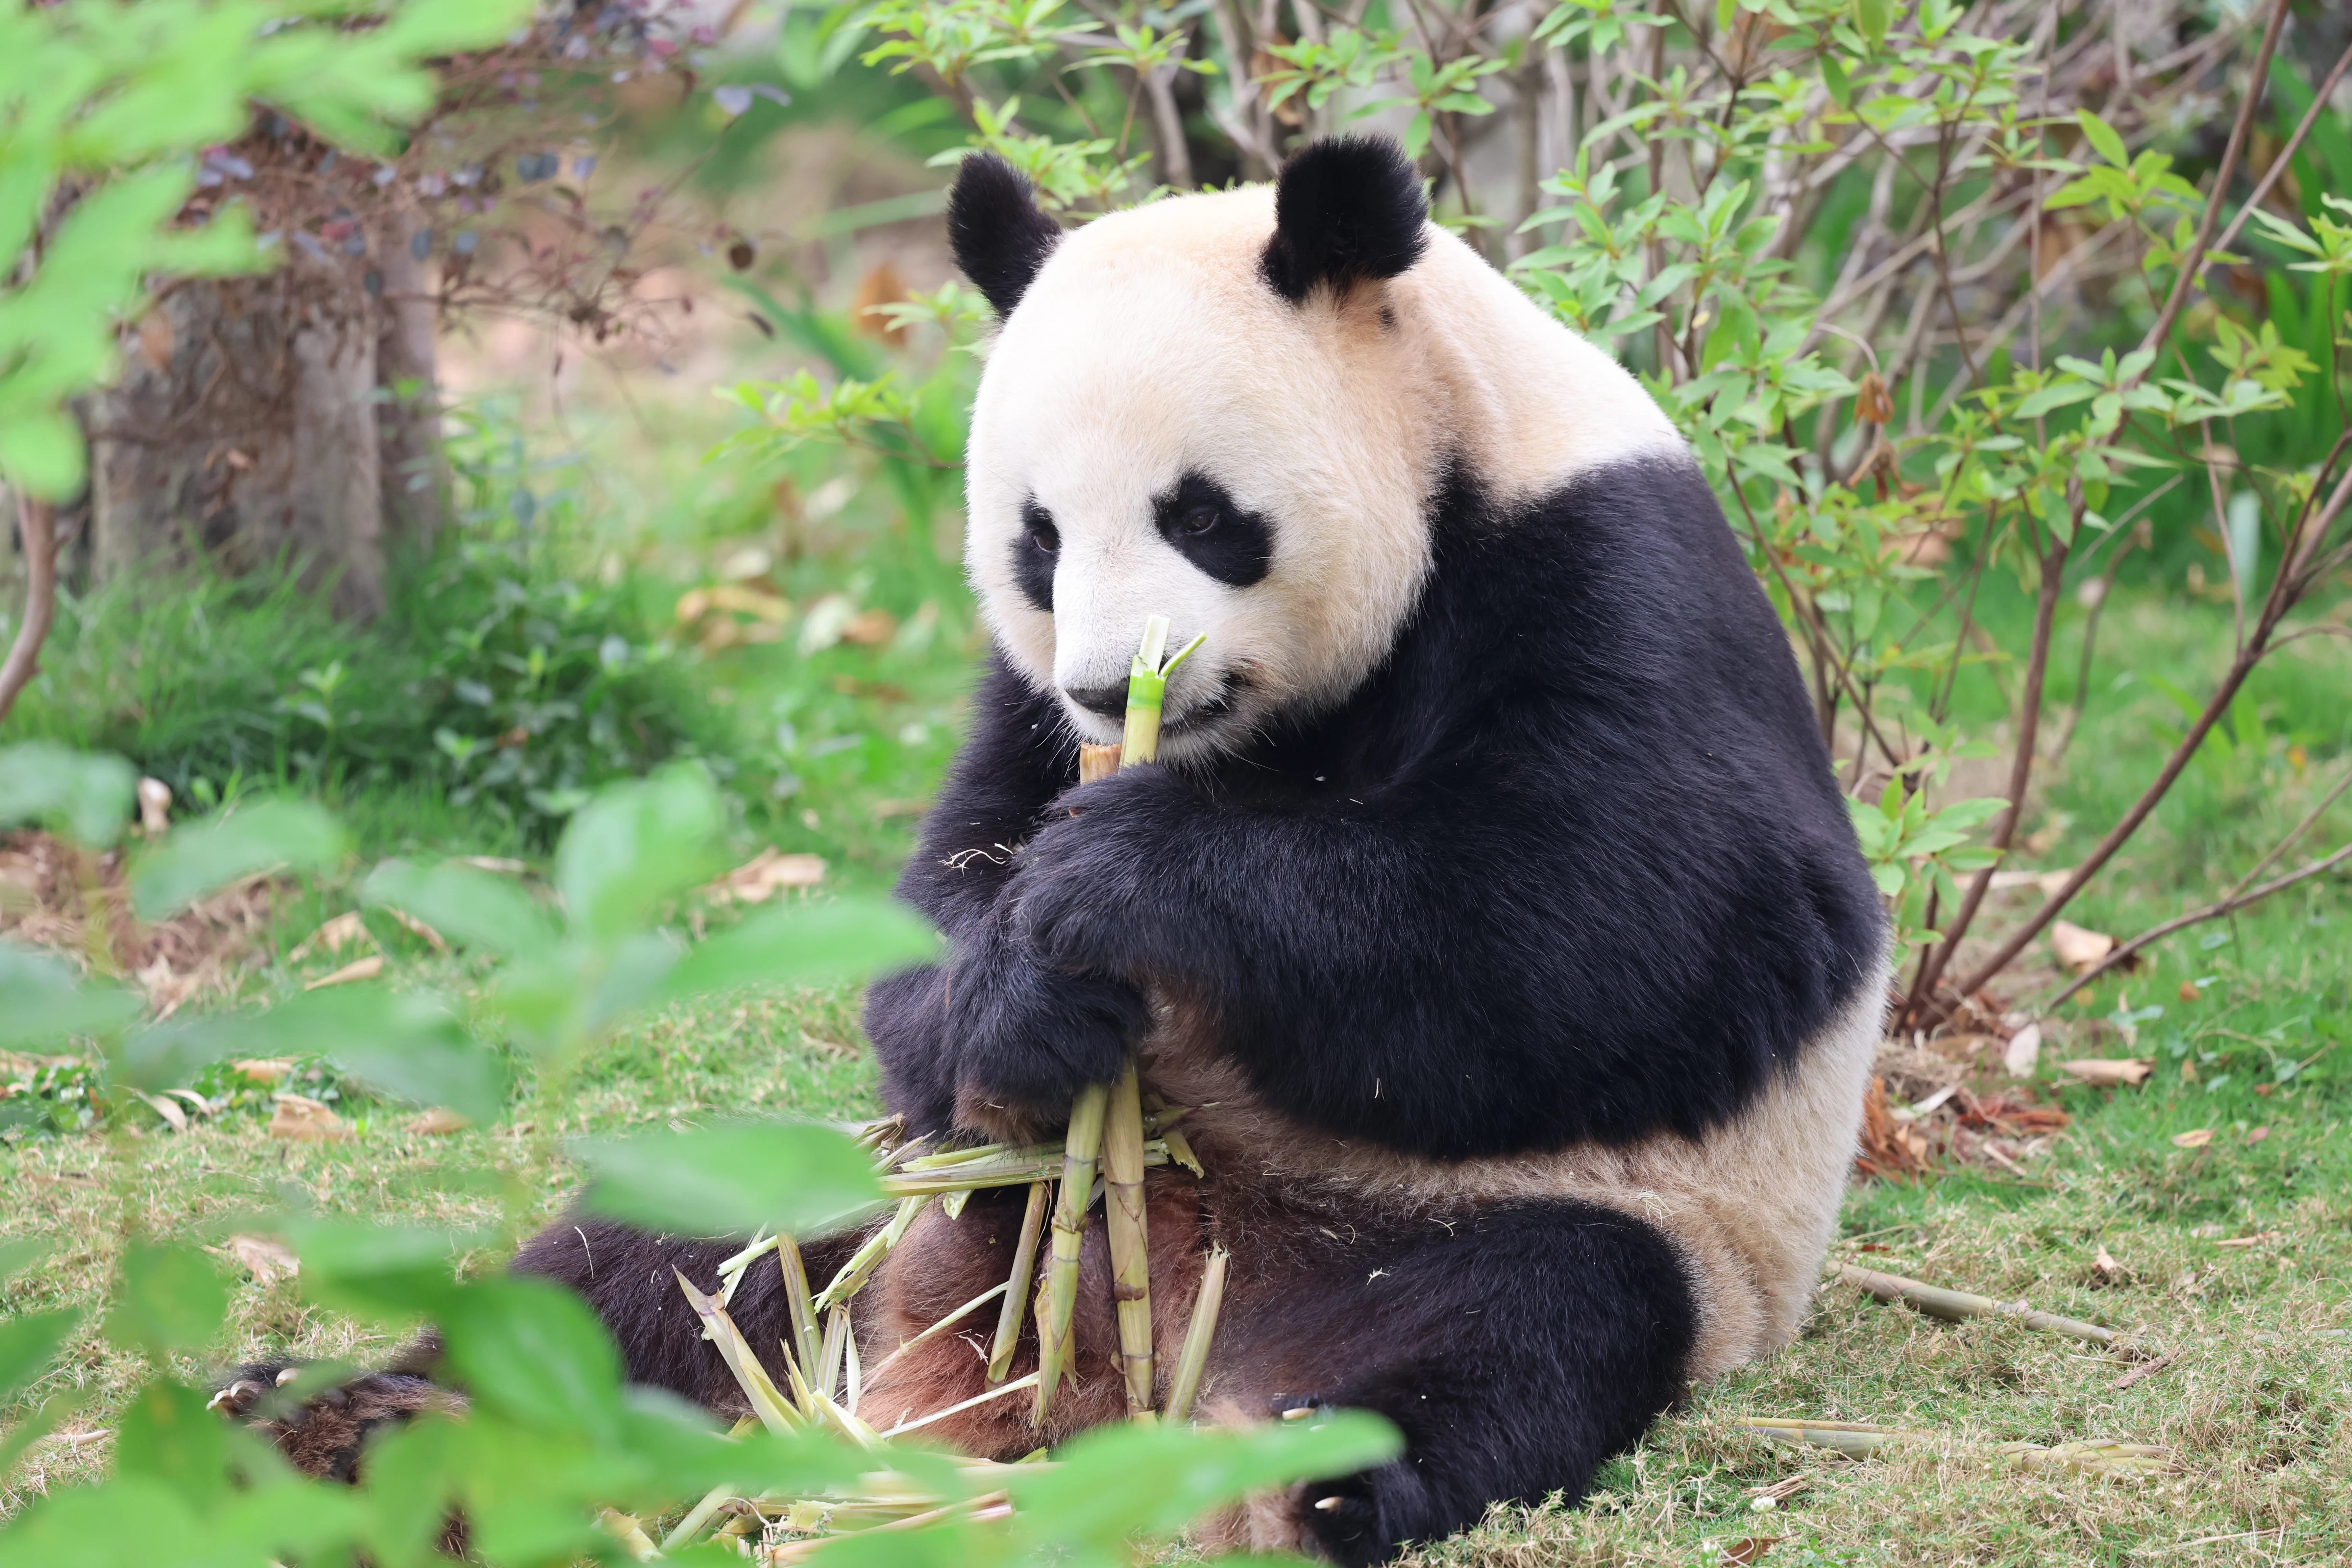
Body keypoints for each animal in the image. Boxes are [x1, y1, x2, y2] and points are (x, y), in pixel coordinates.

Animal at [230, 137, 1885, 1566]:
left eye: (1204, 515)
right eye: (1036, 537)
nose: (1105, 684)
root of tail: (1060, 1373)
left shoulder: (1596, 563)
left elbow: (1660, 923)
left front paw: (1135, 883)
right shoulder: (1013, 707)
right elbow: (942, 891)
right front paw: (1028, 991)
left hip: (1550, 1230)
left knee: (1511, 1326)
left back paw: (1299, 1483)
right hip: (886, 1183)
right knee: (657, 1263)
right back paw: (346, 1420)